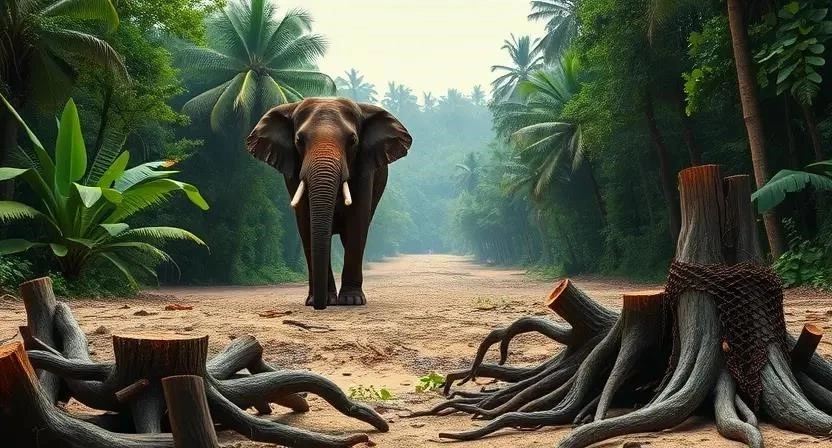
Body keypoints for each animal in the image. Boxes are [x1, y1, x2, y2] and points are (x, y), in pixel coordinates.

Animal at [246, 98, 412, 310]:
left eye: (353, 140)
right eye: (299, 140)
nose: (319, 306)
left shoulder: (365, 170)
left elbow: (357, 220)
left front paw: (352, 301)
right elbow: (306, 221)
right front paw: (321, 300)